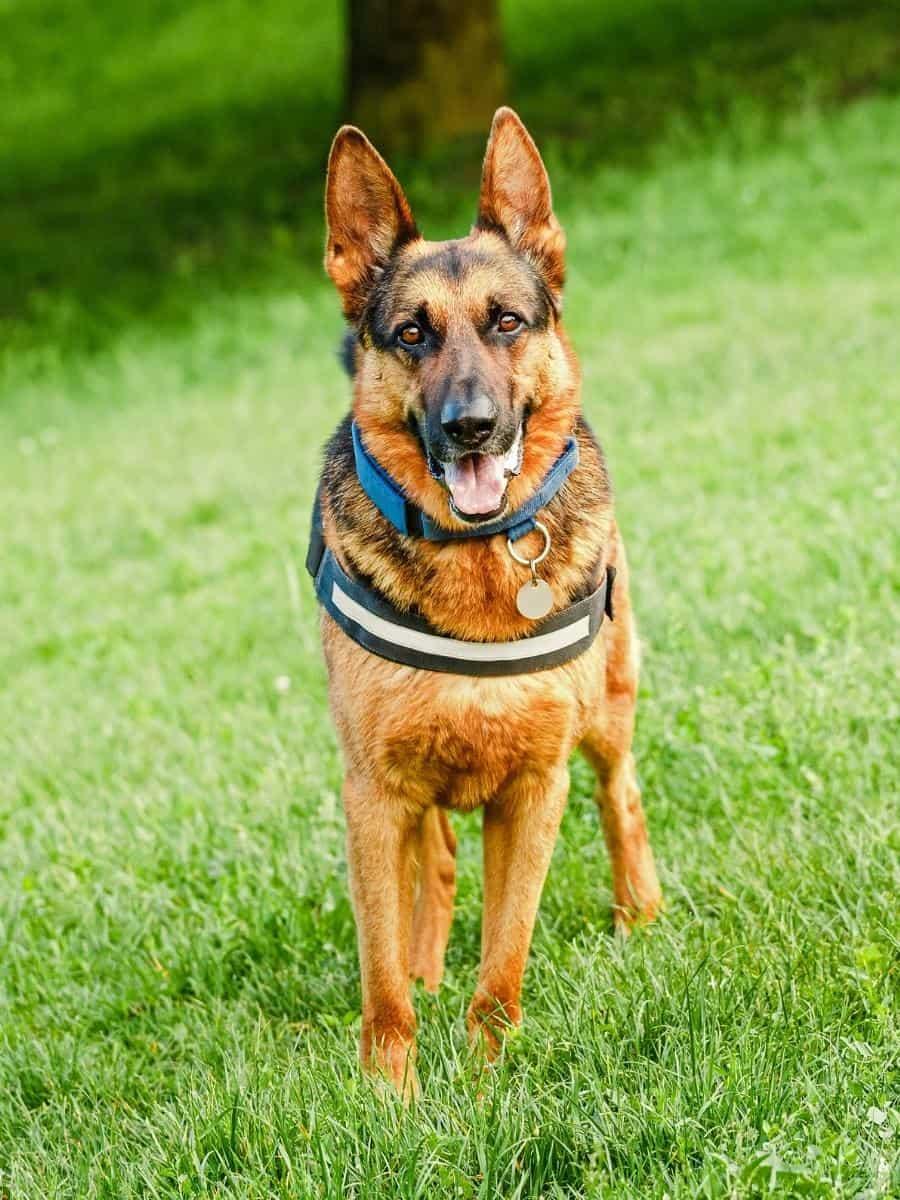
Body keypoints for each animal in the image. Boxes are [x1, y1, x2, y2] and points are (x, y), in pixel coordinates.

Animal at [316, 108, 662, 1094]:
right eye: (410, 335)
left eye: (507, 322)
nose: (469, 426)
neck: (475, 560)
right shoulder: (373, 792)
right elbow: (381, 975)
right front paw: (390, 1096)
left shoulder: (535, 790)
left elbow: (504, 959)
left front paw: (485, 1082)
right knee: (432, 864)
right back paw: (428, 964)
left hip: (608, 714)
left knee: (621, 793)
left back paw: (641, 912)